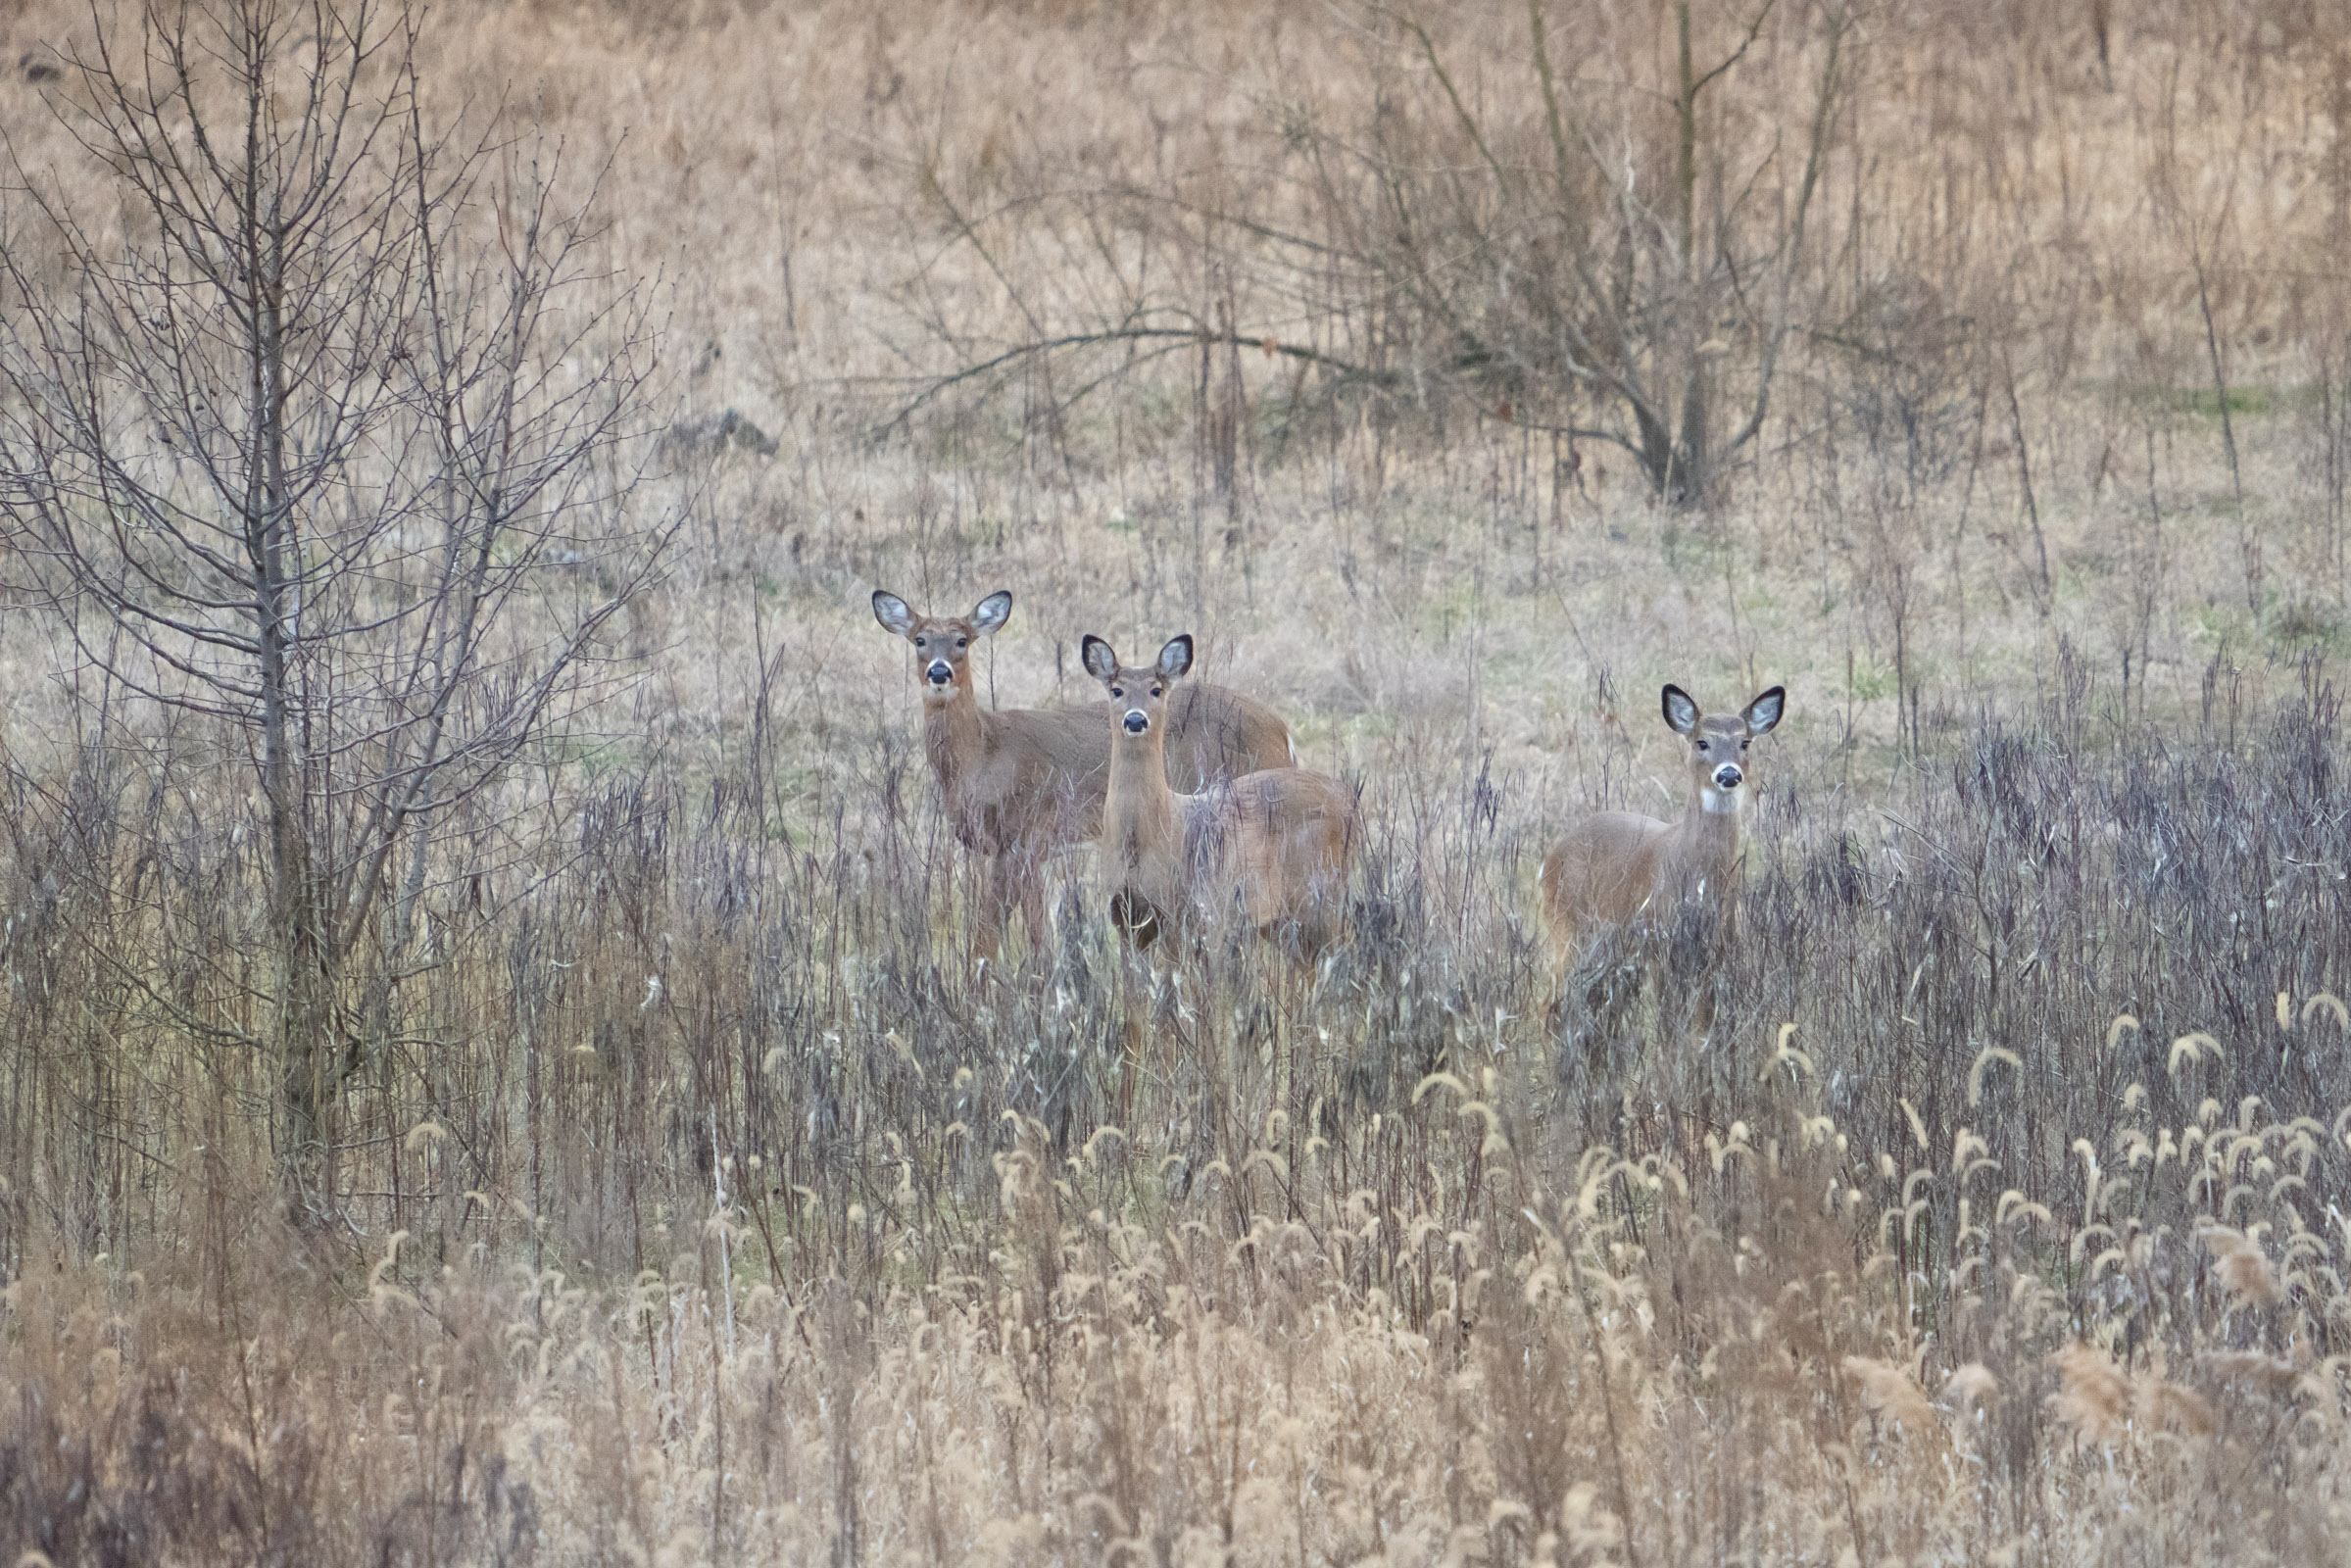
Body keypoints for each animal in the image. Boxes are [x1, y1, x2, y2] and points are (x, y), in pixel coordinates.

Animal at [872, 589, 1293, 955]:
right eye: (919, 639)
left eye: (962, 640)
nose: (938, 672)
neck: (982, 756)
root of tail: (1283, 732)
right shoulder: (1031, 852)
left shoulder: (1022, 839)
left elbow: (995, 936)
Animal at [1081, 633, 1358, 962]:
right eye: (1117, 690)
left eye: (1156, 689)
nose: (1135, 720)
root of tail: (1349, 801)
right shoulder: (1125, 917)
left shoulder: (1186, 912)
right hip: (1279, 918)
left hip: (1322, 894)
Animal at [1538, 682, 1786, 967]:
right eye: (1702, 742)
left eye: (1745, 742)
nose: (1729, 774)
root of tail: (1549, 861)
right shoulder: (1655, 938)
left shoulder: (1724, 941)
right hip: (1565, 923)